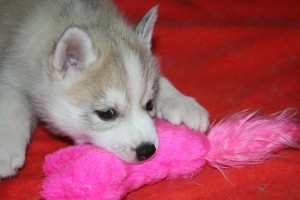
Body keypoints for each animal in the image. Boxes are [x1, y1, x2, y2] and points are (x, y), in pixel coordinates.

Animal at [0, 0, 209, 178]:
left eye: (150, 104)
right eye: (107, 114)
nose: (147, 150)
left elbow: (162, 80)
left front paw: (183, 103)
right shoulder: (10, 72)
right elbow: (15, 101)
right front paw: (6, 148)